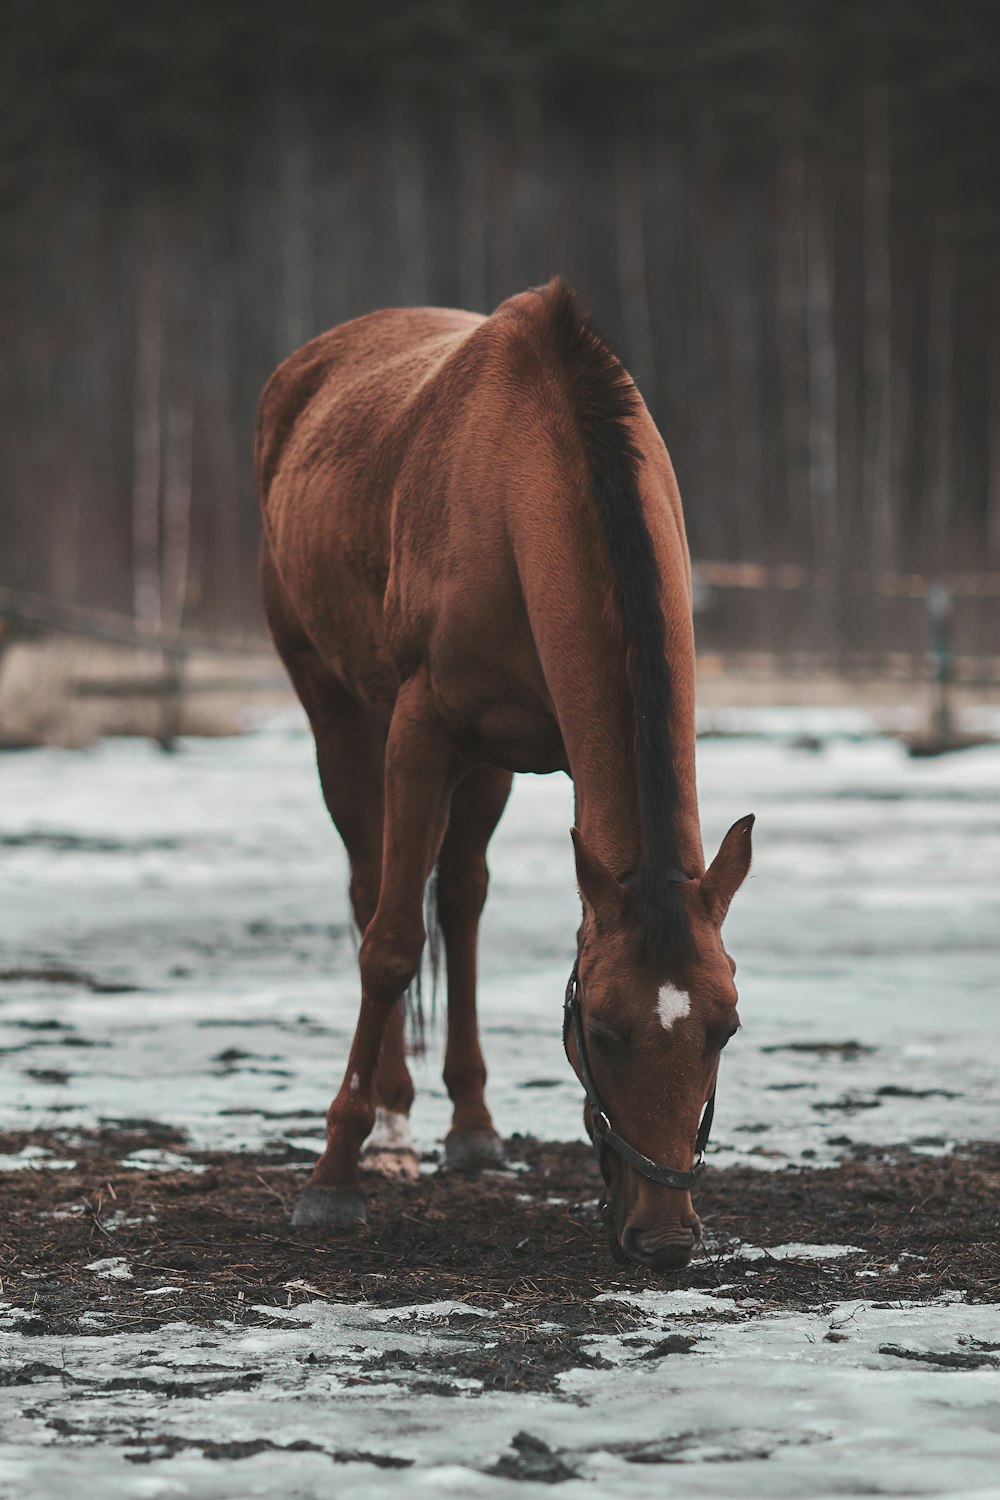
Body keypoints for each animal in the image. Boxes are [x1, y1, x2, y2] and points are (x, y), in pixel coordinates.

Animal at [254, 279, 755, 1266]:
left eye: (725, 1027)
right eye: (600, 1029)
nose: (664, 1238)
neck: (529, 475)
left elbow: (455, 912)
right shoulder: (419, 733)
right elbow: (389, 946)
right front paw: (332, 1178)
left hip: (488, 768)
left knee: (461, 900)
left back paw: (472, 1127)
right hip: (335, 705)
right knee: (373, 889)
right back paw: (390, 1128)